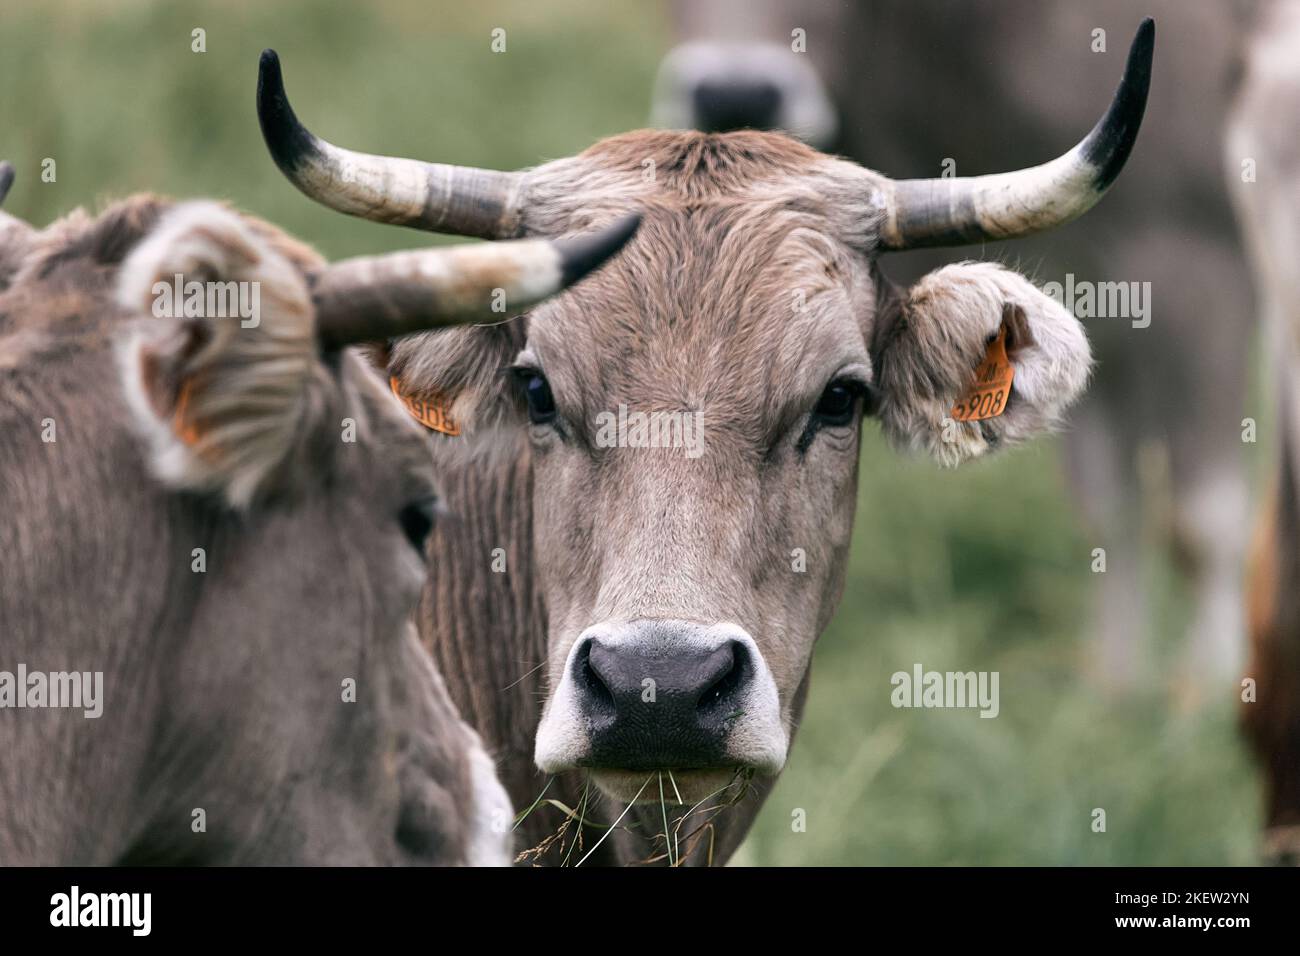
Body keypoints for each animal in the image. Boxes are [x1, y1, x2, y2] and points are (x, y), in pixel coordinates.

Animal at [655, 0, 1253, 686]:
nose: (735, 94)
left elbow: (1204, 519)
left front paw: (1209, 692)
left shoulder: (1199, 268)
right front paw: (1116, 685)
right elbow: (1110, 510)